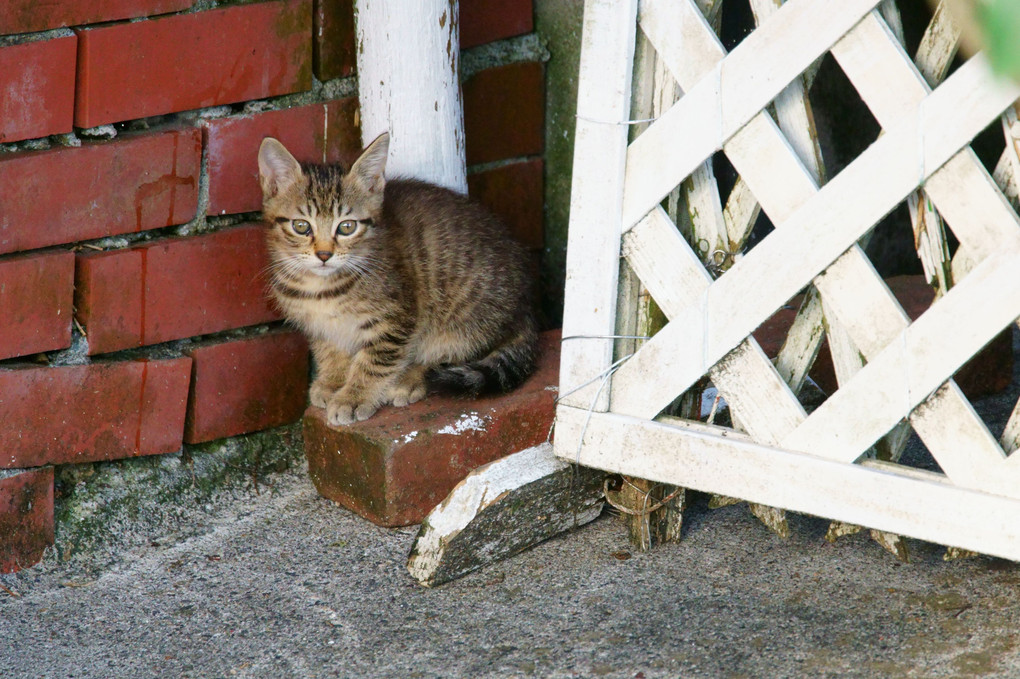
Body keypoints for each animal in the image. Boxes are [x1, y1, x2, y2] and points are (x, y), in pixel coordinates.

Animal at [259, 133, 538, 424]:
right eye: (301, 226)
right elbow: (330, 350)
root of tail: (526, 309)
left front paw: (354, 397)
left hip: (464, 316)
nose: (324, 254)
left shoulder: (397, 317)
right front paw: (333, 380)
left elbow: (375, 360)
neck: (320, 288)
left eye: (347, 227)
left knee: (446, 352)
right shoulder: (319, 325)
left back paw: (409, 379)